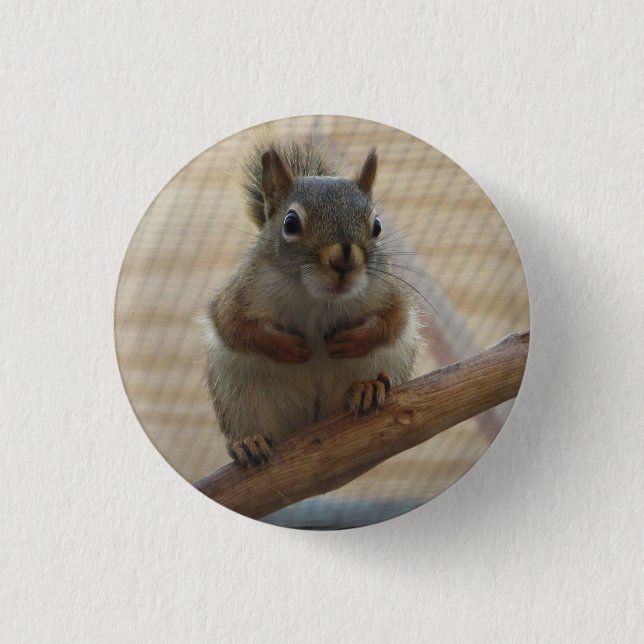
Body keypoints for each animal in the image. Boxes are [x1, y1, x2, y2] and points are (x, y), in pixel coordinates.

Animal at [204, 137, 419, 467]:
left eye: (377, 225)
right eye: (290, 223)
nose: (344, 258)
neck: (317, 297)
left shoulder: (386, 290)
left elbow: (395, 319)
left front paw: (354, 341)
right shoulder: (240, 293)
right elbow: (233, 326)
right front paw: (286, 346)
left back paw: (367, 387)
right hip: (237, 394)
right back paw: (248, 441)